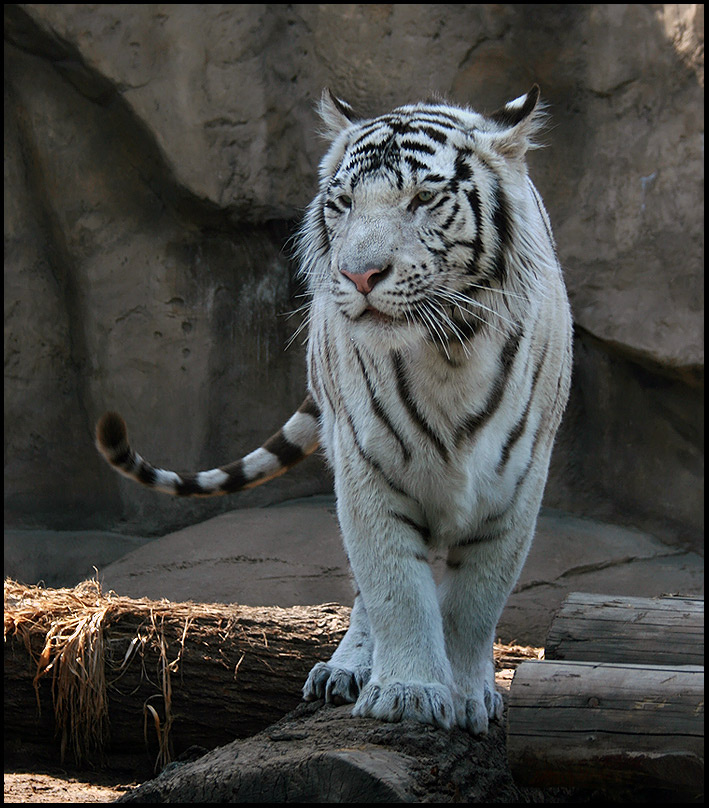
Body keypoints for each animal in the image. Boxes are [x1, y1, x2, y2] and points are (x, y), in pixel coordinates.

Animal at [96, 86, 572, 736]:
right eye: (344, 204)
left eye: (423, 199)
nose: (359, 274)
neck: (450, 350)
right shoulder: (367, 467)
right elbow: (395, 587)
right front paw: (408, 692)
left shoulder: (516, 485)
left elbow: (477, 601)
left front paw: (469, 696)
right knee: (367, 594)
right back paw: (345, 671)